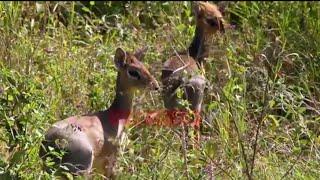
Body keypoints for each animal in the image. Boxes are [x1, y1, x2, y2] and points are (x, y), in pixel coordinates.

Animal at [39, 46, 159, 179]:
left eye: (144, 66)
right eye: (133, 71)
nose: (156, 86)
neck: (117, 117)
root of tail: (52, 145)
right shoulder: (111, 159)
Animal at [160, 1, 228, 144]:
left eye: (219, 14)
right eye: (210, 19)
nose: (223, 28)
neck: (194, 55)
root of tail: (180, 79)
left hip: (172, 106)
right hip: (195, 106)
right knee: (193, 126)